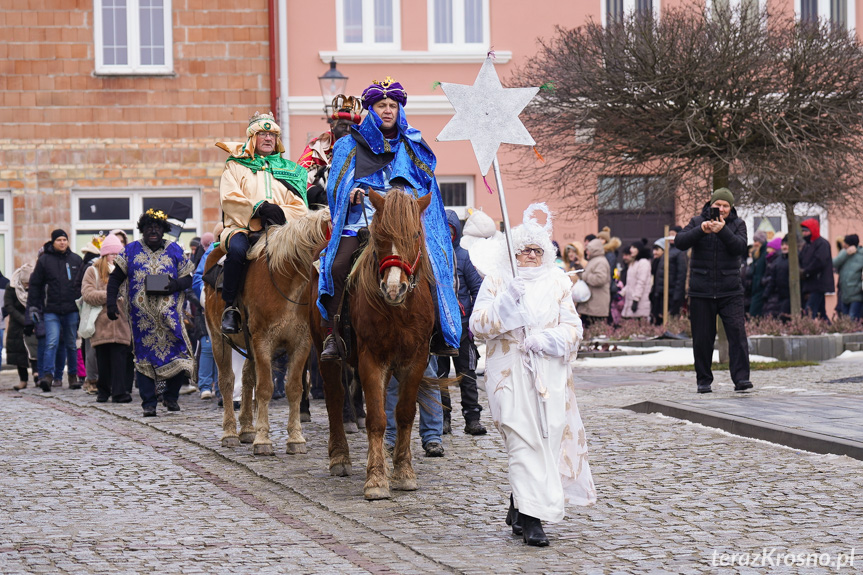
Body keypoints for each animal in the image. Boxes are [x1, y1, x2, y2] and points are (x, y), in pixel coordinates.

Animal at [204, 209, 332, 456]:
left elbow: (294, 388)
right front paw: (263, 440)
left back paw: (246, 429)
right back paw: (230, 433)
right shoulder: (263, 340)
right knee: (227, 381)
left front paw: (295, 438)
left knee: (246, 378)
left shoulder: (301, 344)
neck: (286, 282)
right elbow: (264, 388)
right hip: (218, 339)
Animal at [310, 189, 436, 500]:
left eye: (416, 234)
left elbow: (404, 413)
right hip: (322, 352)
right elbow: (377, 418)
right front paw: (377, 480)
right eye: (380, 236)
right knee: (334, 398)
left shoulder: (415, 359)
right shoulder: (371, 359)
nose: (394, 289)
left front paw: (403, 472)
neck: (398, 311)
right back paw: (339, 457)